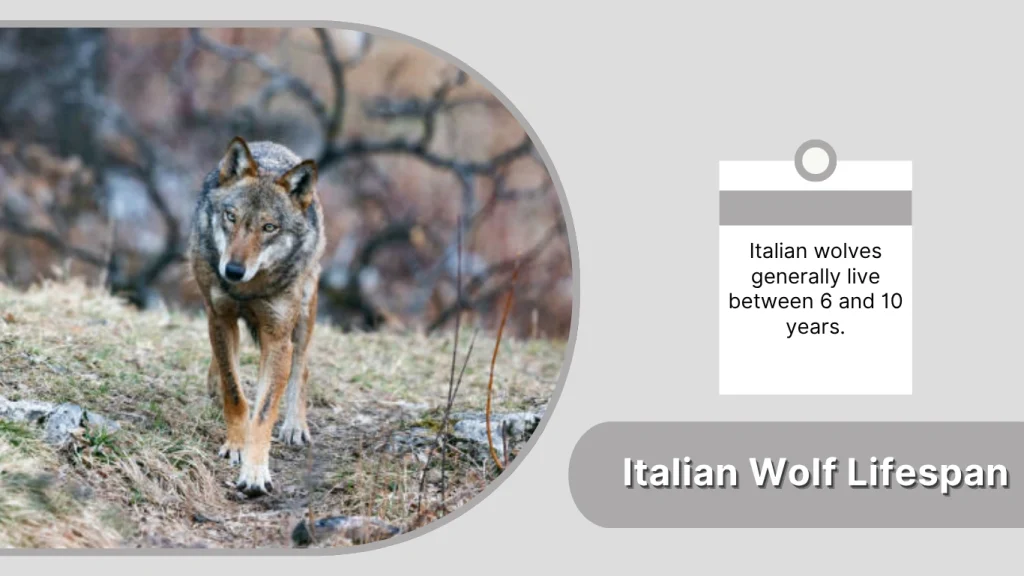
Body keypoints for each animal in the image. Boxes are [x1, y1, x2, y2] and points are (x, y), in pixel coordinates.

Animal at [188, 136, 326, 497]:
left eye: (269, 227)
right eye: (231, 217)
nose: (233, 271)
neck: (248, 289)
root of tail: (273, 146)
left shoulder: (277, 337)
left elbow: (264, 412)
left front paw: (254, 472)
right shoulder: (220, 318)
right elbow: (235, 391)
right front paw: (236, 445)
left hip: (303, 312)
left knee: (302, 367)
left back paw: (295, 425)